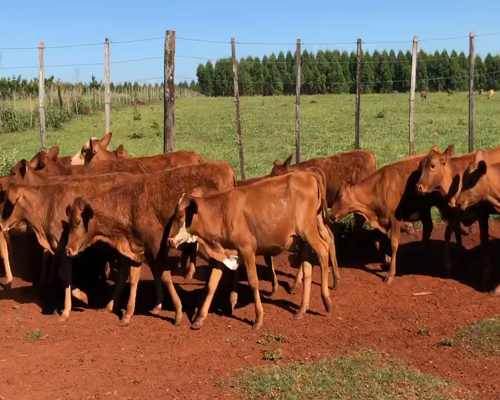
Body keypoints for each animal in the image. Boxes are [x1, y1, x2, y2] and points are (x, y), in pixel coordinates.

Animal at [64, 161, 236, 326]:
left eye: (78, 222)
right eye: (70, 220)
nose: (68, 250)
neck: (128, 204)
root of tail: (226, 168)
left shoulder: (156, 245)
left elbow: (165, 276)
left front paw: (178, 313)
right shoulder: (135, 247)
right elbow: (130, 279)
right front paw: (125, 313)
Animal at [168, 170, 336, 330]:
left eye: (180, 216)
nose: (169, 240)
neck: (221, 212)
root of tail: (308, 175)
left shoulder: (247, 249)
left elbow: (253, 282)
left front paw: (258, 318)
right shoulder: (223, 254)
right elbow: (211, 285)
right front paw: (199, 319)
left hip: (308, 231)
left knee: (323, 250)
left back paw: (327, 300)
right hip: (302, 238)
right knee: (307, 266)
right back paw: (302, 309)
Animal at [416, 145, 500, 282]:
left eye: (432, 166)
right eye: (421, 165)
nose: (418, 187)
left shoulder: (482, 215)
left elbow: (484, 241)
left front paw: (486, 272)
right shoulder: (455, 214)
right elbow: (450, 233)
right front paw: (451, 263)